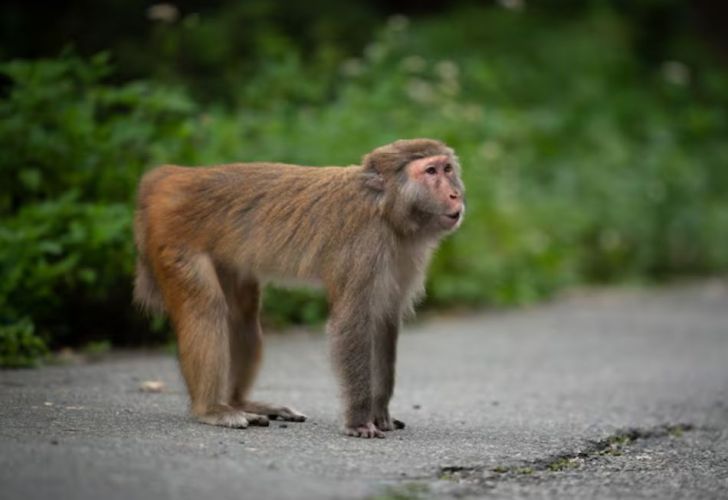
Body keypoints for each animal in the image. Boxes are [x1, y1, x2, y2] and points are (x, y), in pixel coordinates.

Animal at [133, 138, 465, 438]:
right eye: (431, 171)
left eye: (447, 169)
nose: (456, 193)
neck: (385, 208)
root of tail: (174, 176)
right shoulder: (365, 247)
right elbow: (352, 323)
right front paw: (358, 421)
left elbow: (384, 322)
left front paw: (380, 412)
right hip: (173, 239)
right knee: (206, 307)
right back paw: (211, 409)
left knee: (242, 315)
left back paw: (241, 402)